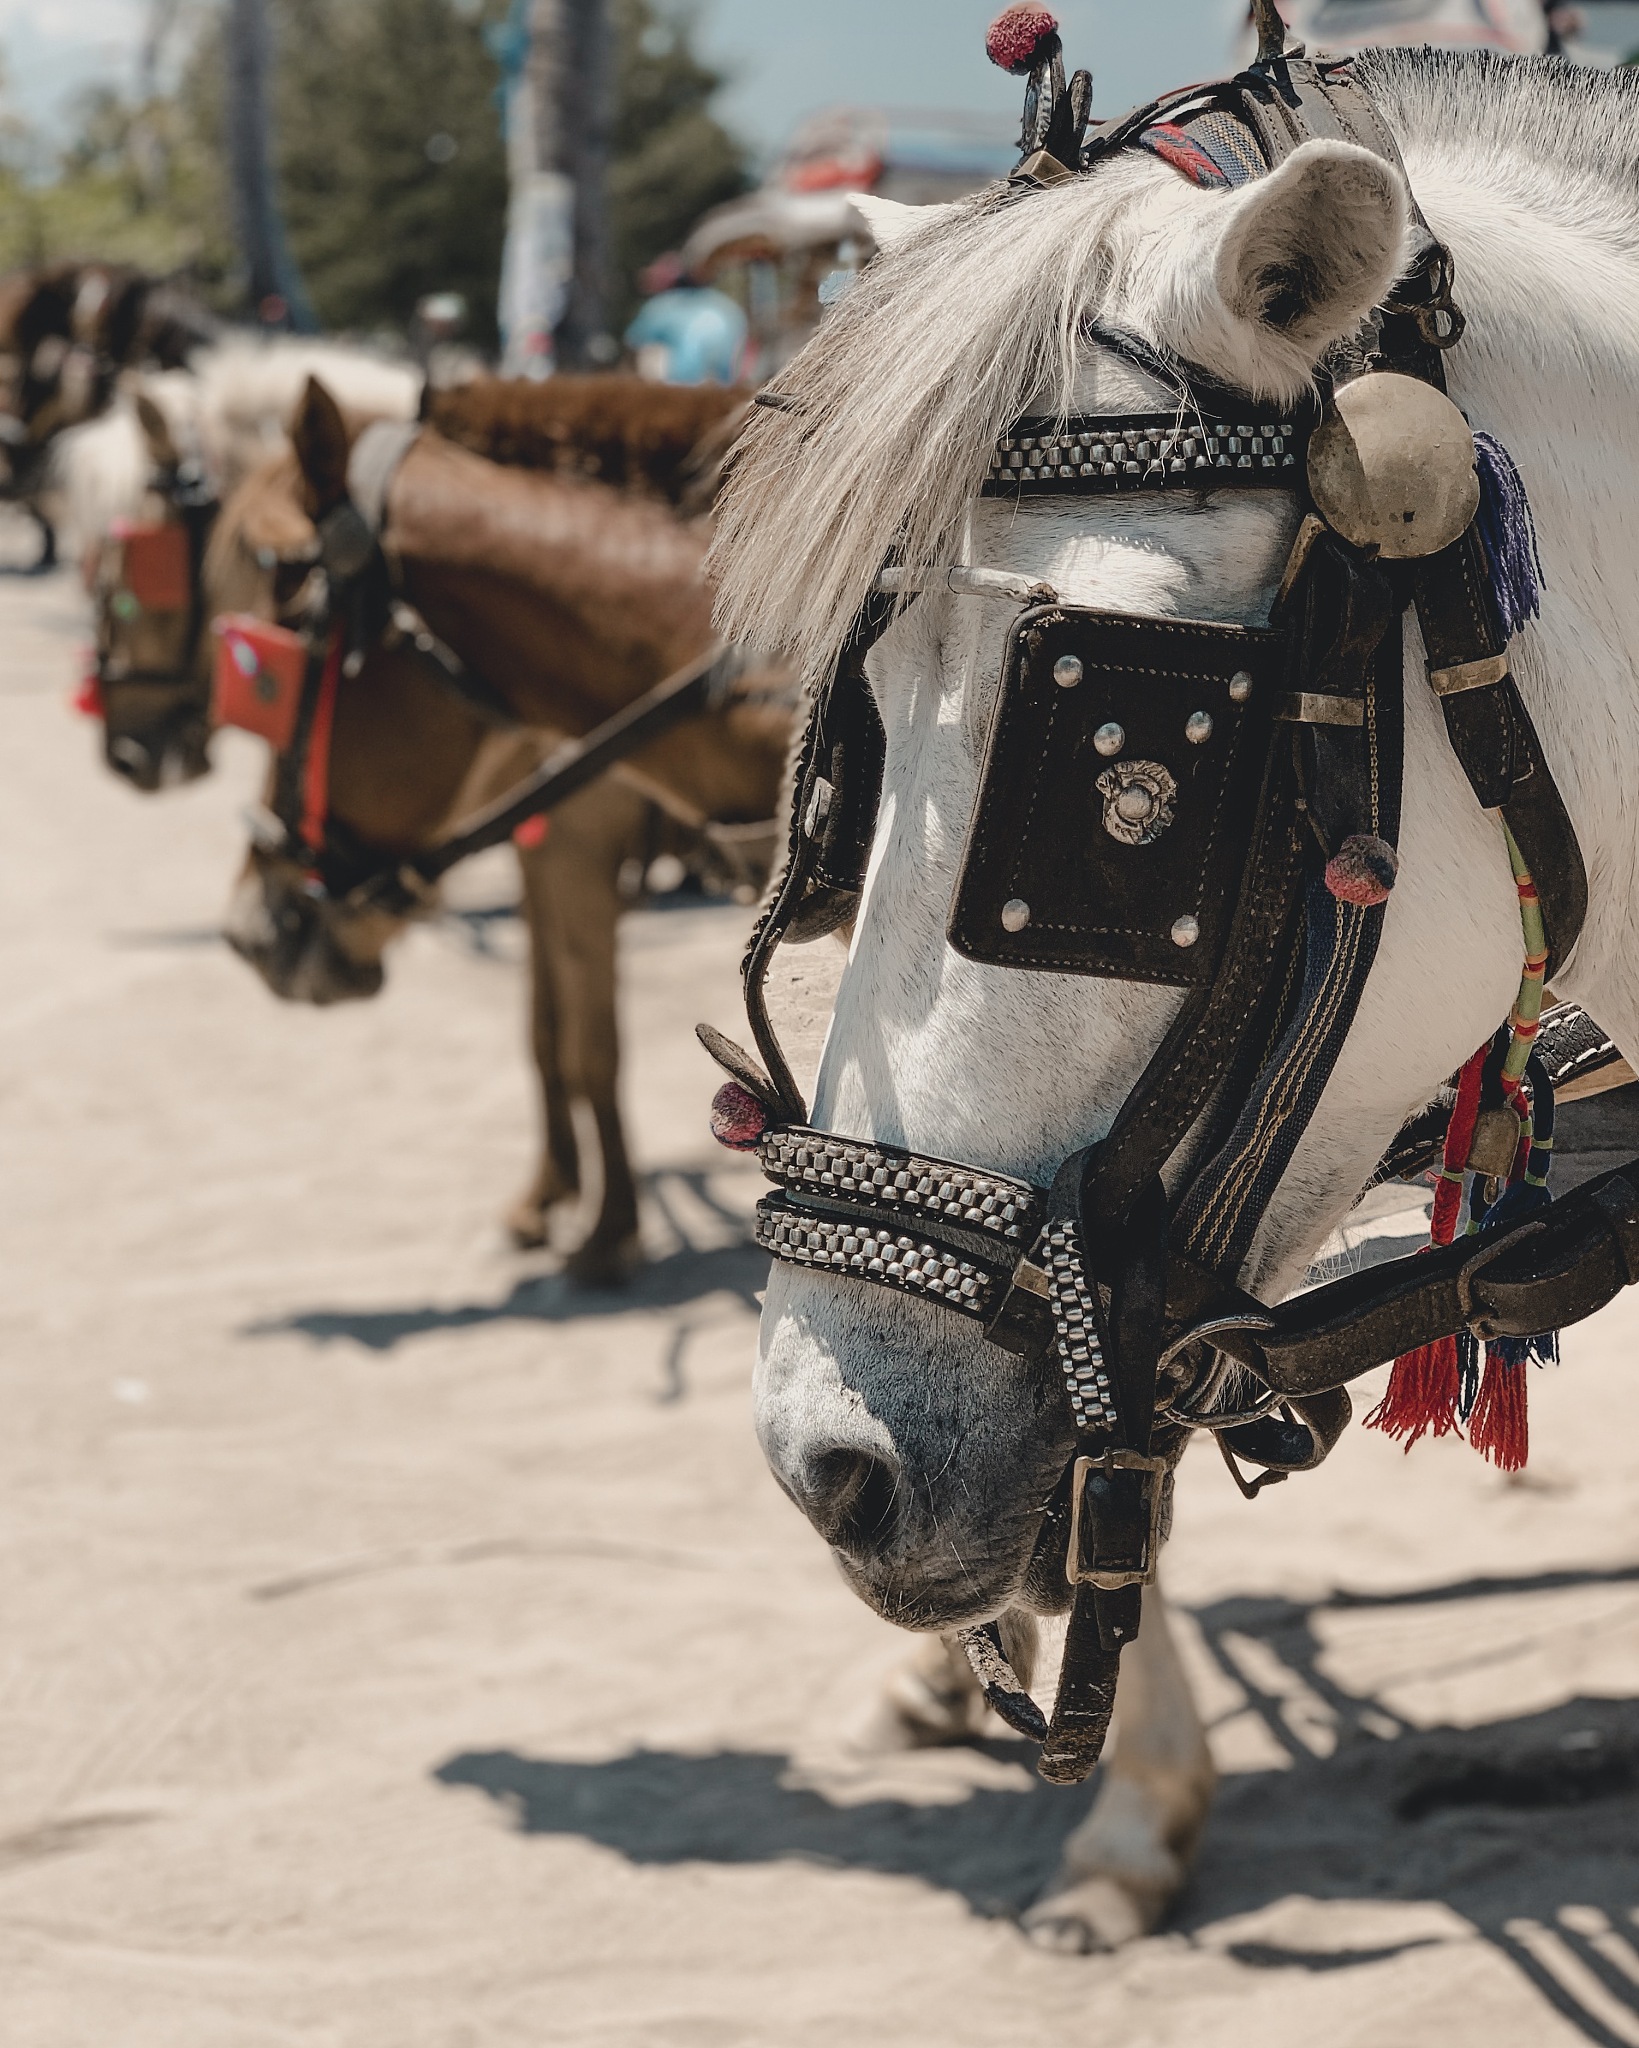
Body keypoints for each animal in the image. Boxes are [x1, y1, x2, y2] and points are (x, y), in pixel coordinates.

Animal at [211, 377, 792, 1277]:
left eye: (279, 661)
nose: (251, 928)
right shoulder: (550, 855)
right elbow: (551, 1030)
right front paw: (556, 1202)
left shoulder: (576, 854)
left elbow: (588, 1039)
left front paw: (604, 1229)